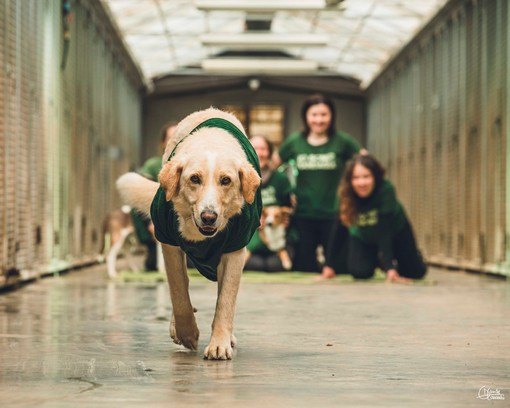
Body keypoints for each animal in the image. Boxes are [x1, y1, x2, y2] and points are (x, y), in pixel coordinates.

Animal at [115, 109, 258, 360]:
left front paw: (219, 343)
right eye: (194, 179)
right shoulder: (168, 243)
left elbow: (226, 300)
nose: (209, 216)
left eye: (226, 180)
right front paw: (187, 333)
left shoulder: (235, 250)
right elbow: (179, 292)